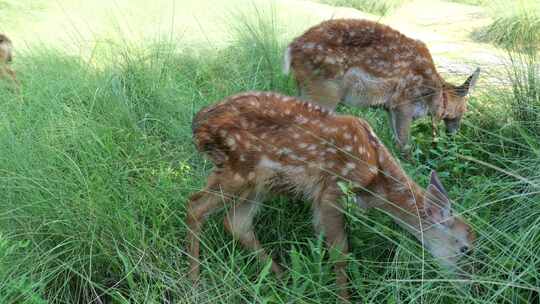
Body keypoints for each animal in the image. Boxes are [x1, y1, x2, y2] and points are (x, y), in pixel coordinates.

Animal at [188, 92, 474, 302]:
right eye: (466, 249)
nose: (469, 286)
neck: (377, 181)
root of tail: (199, 123)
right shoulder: (332, 190)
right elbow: (340, 252)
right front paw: (344, 299)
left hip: (258, 184)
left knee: (236, 222)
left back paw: (282, 276)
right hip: (238, 169)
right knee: (195, 206)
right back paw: (195, 281)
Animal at [284, 18, 478, 157]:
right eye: (465, 109)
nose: (455, 133)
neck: (434, 93)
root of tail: (292, 47)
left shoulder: (390, 107)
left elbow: (395, 141)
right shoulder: (404, 103)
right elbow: (405, 145)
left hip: (305, 88)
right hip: (324, 90)